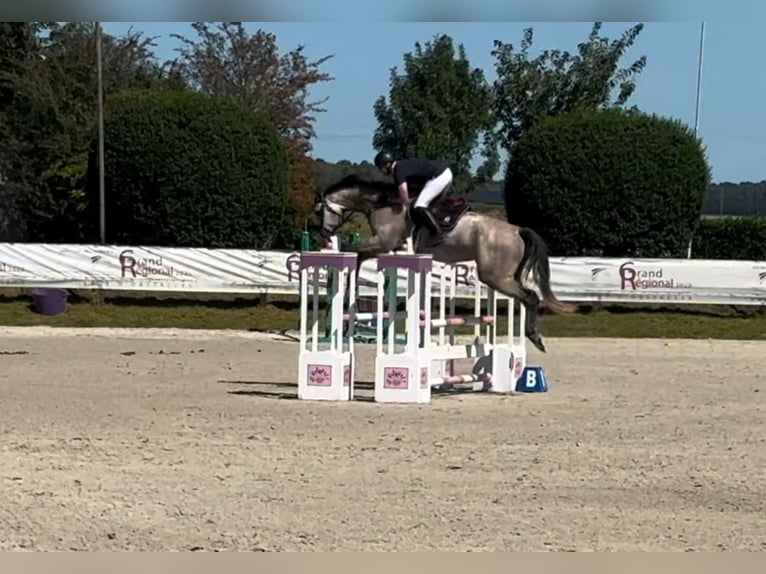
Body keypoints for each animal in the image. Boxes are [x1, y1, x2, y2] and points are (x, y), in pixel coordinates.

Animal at [312, 173, 576, 354]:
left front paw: (350, 291)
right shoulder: (389, 247)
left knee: (531, 297)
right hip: (502, 276)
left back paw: (535, 338)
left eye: (319, 210)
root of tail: (517, 230)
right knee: (529, 296)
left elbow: (356, 255)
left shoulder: (384, 243)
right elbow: (360, 256)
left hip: (495, 277)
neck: (382, 204)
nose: (324, 233)